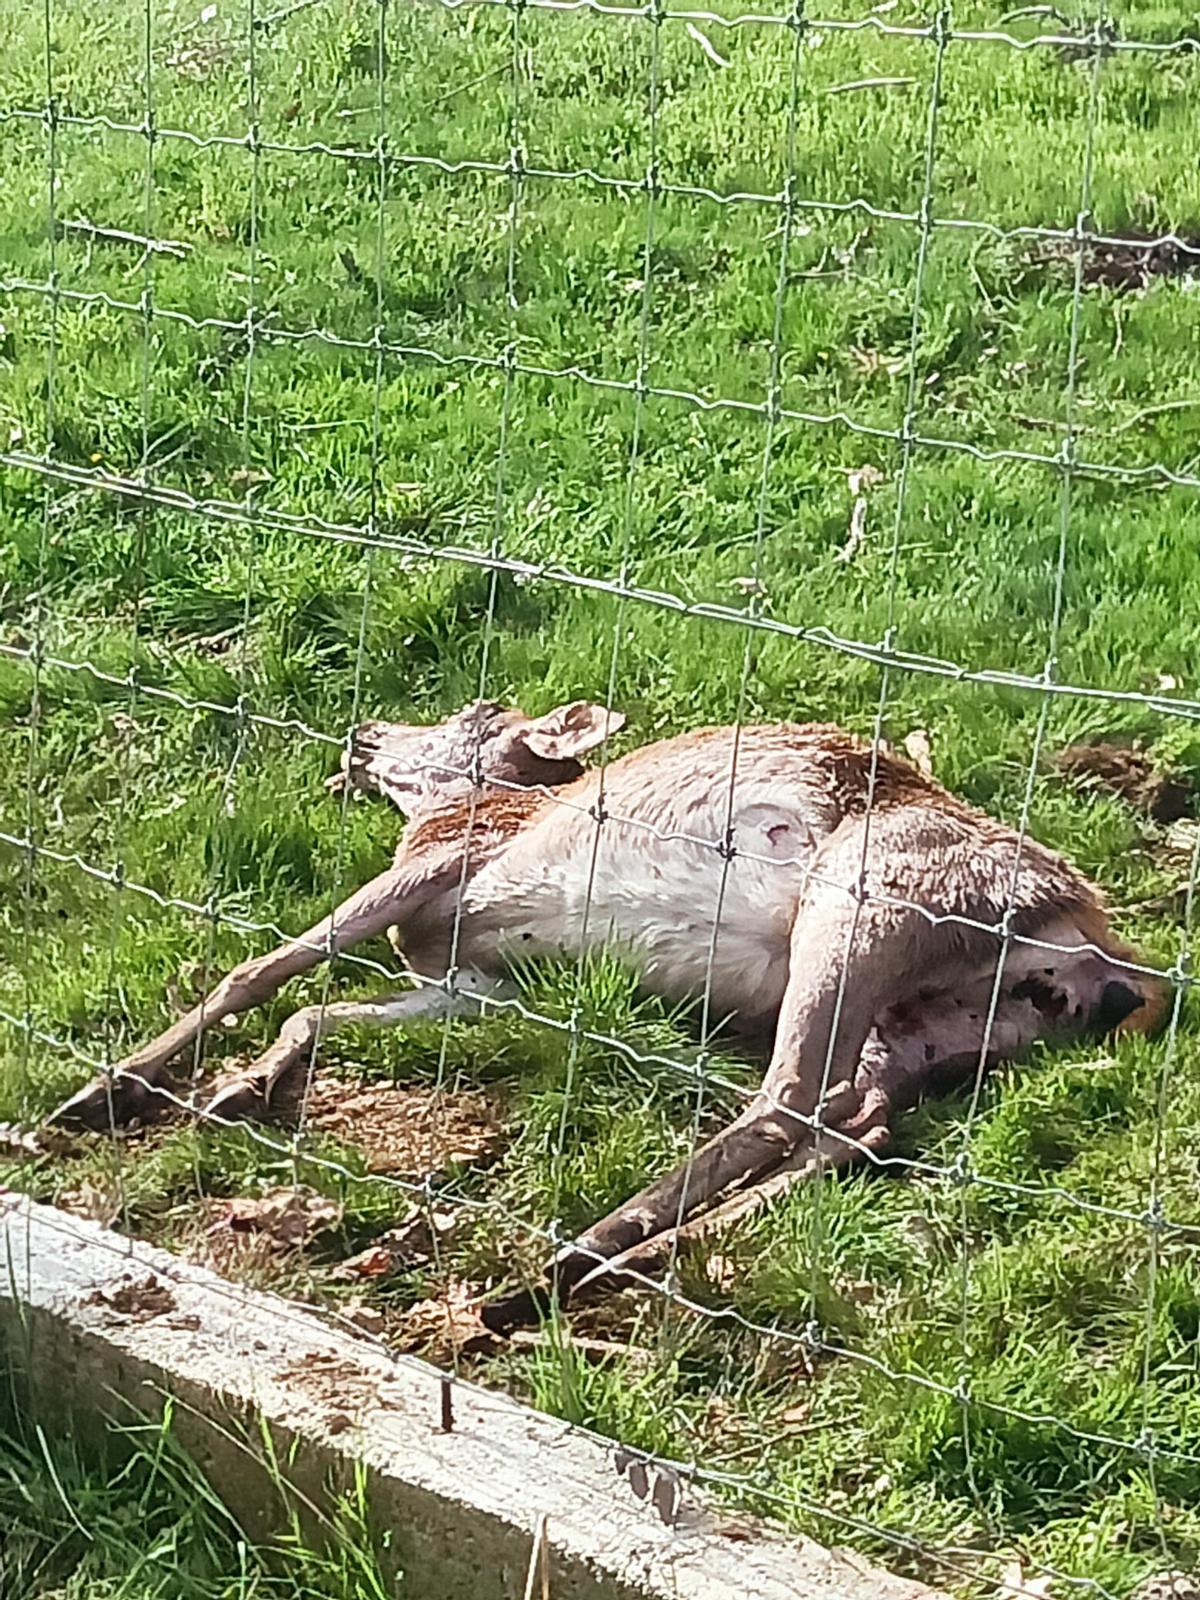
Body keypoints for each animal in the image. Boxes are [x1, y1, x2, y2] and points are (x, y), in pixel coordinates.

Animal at [48, 698, 1165, 1330]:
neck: (463, 813)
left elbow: (267, 966)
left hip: (866, 901)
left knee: (790, 1097)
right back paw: (634, 1263)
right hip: (940, 1022)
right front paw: (237, 1088)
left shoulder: (446, 865)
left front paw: (103, 1092)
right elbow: (322, 1008)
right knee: (858, 1122)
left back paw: (542, 1274)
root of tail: (1111, 961)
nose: (363, 733)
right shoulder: (483, 978)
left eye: (476, 714)